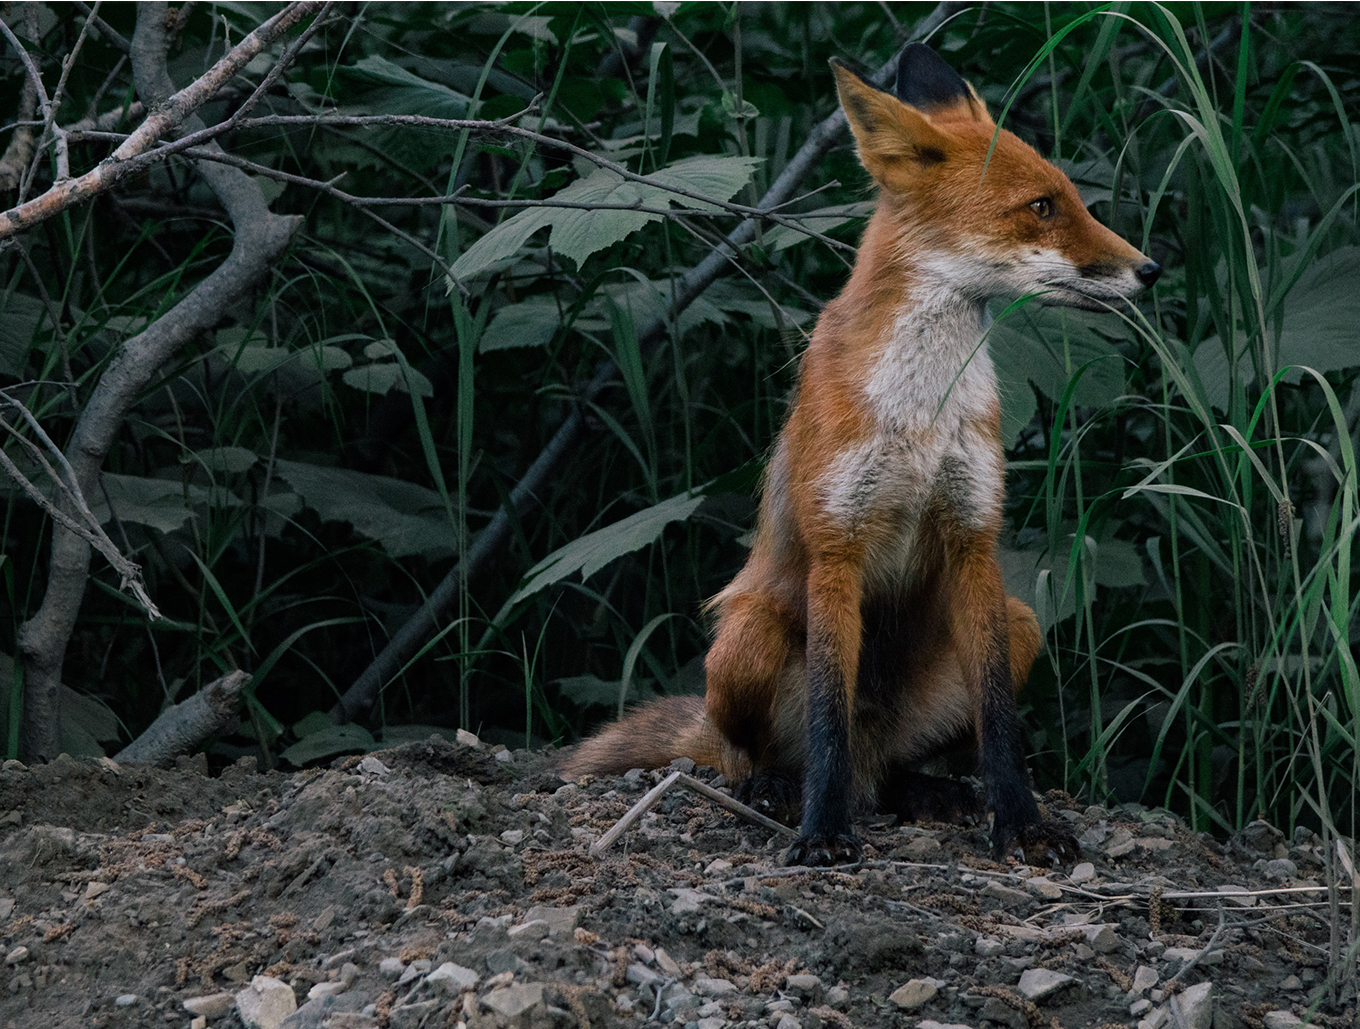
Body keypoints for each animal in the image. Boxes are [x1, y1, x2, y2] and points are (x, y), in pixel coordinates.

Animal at [560, 44, 1158, 864]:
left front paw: (1022, 823)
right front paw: (822, 831)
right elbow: (826, 722)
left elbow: (1001, 725)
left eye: (1073, 198)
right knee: (761, 751)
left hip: (1019, 622)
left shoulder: (974, 539)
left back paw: (925, 790)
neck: (922, 417)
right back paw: (773, 789)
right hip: (746, 640)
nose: (1150, 269)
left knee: (897, 763)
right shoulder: (836, 545)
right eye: (1042, 206)